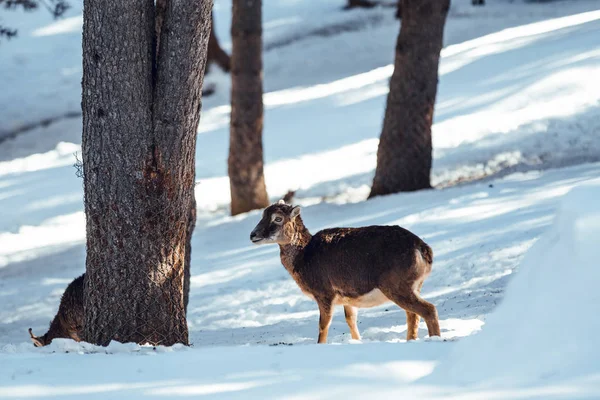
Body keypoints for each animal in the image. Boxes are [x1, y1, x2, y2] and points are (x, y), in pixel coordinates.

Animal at [248, 200, 440, 344]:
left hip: (396, 286)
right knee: (413, 315)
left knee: (428, 309)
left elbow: (323, 325)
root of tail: (424, 249)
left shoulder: (325, 293)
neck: (304, 257)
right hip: (412, 286)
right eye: (262, 215)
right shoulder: (348, 298)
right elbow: (350, 320)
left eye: (278, 218)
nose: (253, 235)